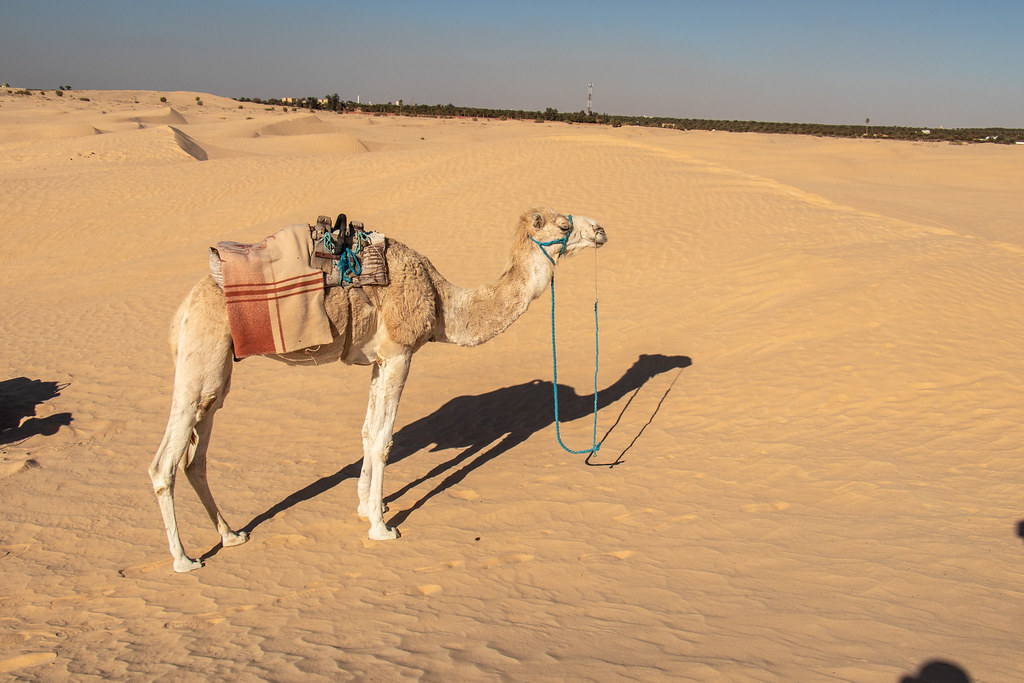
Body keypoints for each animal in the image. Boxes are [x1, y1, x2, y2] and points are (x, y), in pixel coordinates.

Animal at [149, 208, 608, 572]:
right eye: (564, 224)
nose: (602, 229)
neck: (442, 302)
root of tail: (181, 311)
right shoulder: (400, 352)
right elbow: (384, 439)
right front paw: (381, 527)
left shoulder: (378, 360)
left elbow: (368, 433)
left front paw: (368, 505)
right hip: (200, 360)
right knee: (164, 463)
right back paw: (184, 559)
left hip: (217, 376)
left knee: (195, 457)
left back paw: (230, 535)